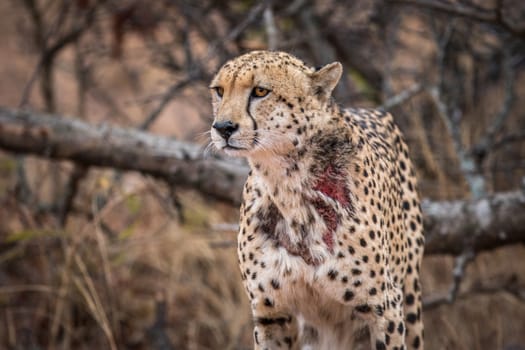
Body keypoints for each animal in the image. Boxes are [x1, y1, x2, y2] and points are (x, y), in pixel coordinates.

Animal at [208, 50, 422, 348]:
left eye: (260, 91)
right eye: (219, 90)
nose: (223, 127)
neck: (287, 185)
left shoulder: (384, 308)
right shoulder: (271, 312)